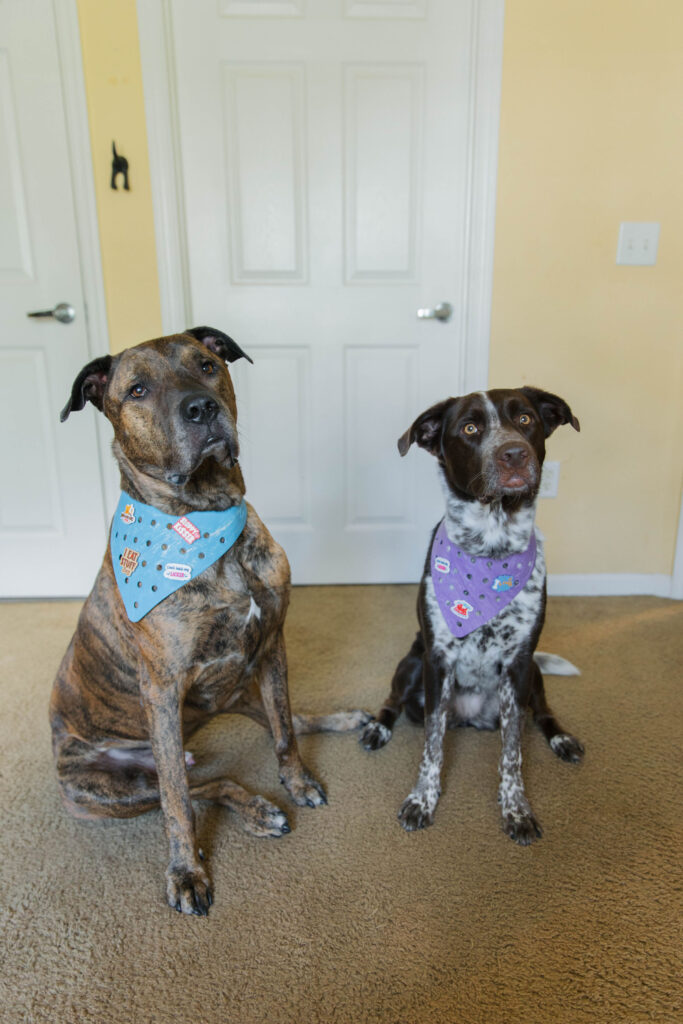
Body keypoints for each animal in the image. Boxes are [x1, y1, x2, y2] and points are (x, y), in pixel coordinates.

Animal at [51, 323, 368, 917]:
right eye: (136, 390)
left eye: (205, 365)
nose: (202, 408)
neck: (205, 520)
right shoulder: (161, 691)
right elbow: (177, 800)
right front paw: (185, 872)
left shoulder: (271, 646)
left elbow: (285, 733)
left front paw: (298, 782)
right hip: (105, 789)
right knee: (194, 785)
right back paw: (256, 810)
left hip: (236, 691)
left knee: (284, 724)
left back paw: (340, 722)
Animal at [360, 387, 585, 843]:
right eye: (469, 428)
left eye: (525, 419)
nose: (514, 453)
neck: (490, 547)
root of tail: (468, 719)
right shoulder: (437, 659)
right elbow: (432, 745)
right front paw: (422, 800)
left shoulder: (519, 664)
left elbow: (513, 752)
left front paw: (516, 808)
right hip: (412, 662)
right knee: (395, 700)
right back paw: (378, 727)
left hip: (534, 675)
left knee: (542, 714)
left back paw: (561, 739)